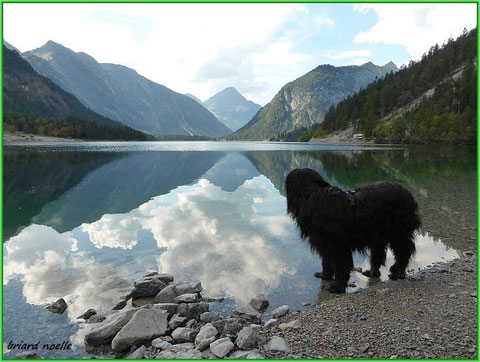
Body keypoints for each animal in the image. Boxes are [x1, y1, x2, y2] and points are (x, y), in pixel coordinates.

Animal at [284, 168, 420, 292]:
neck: (312, 195)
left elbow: (341, 266)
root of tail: (407, 193)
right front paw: (325, 275)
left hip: (398, 232)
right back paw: (373, 272)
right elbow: (326, 261)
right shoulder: (326, 243)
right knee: (379, 254)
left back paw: (397, 273)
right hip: (378, 234)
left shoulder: (337, 244)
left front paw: (337, 286)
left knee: (404, 251)